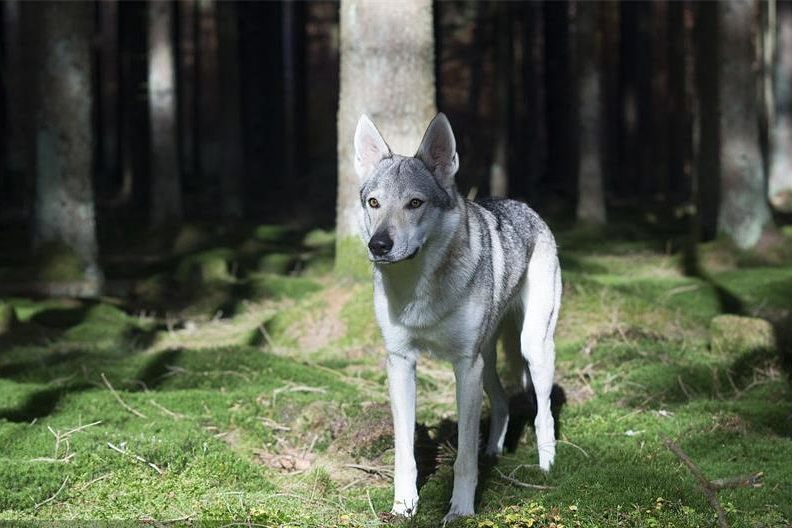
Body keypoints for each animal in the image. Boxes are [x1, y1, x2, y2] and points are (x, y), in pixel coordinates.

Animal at [352, 113, 564, 520]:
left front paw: (461, 511)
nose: (379, 245)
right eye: (373, 202)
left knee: (542, 412)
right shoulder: (402, 363)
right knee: (501, 403)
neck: (417, 288)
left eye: (414, 203)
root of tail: (525, 206)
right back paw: (494, 451)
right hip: (489, 360)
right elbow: (405, 452)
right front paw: (403, 506)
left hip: (531, 348)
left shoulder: (465, 365)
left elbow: (463, 457)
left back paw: (547, 467)